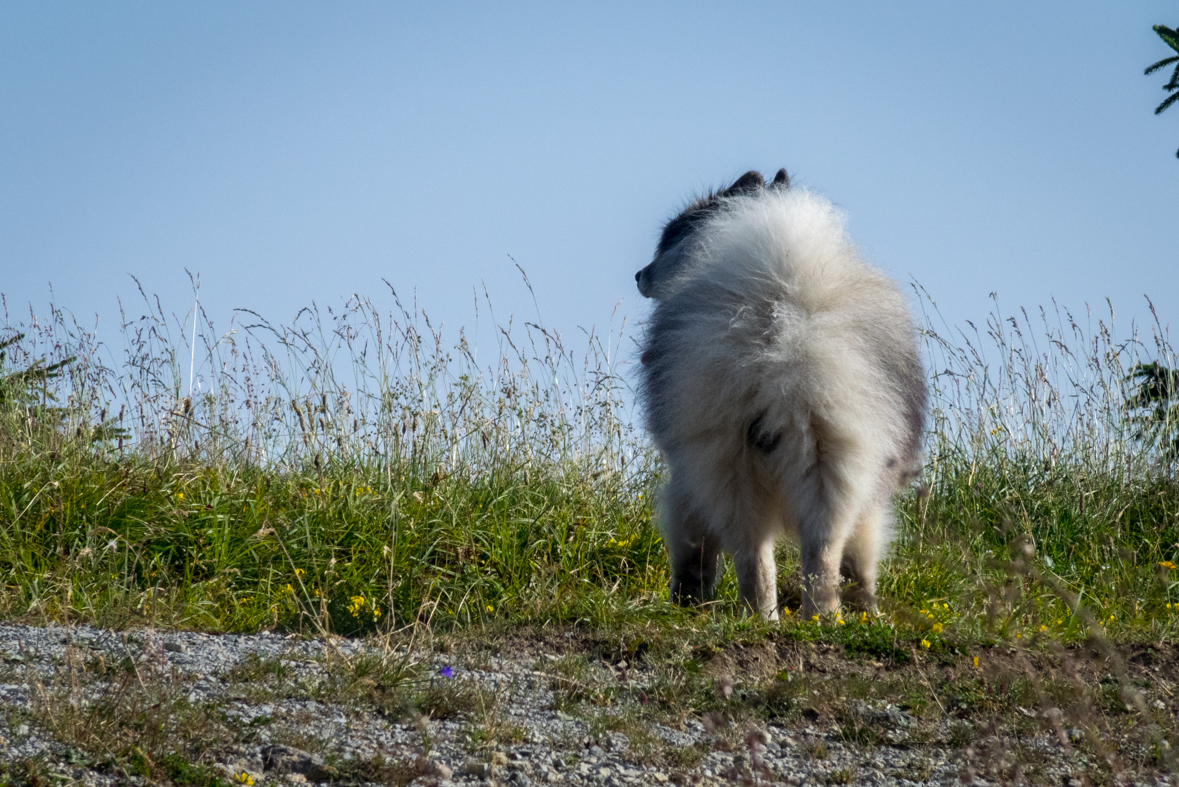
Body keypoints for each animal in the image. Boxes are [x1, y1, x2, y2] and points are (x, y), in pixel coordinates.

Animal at [636, 169, 919, 617]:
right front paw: (868, 612)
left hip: (728, 464)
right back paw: (818, 618)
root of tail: (785, 338)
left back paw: (760, 616)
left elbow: (693, 551)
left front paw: (686, 602)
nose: (639, 275)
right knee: (819, 551)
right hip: (832, 455)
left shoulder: (685, 474)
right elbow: (858, 562)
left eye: (668, 237)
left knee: (754, 554)